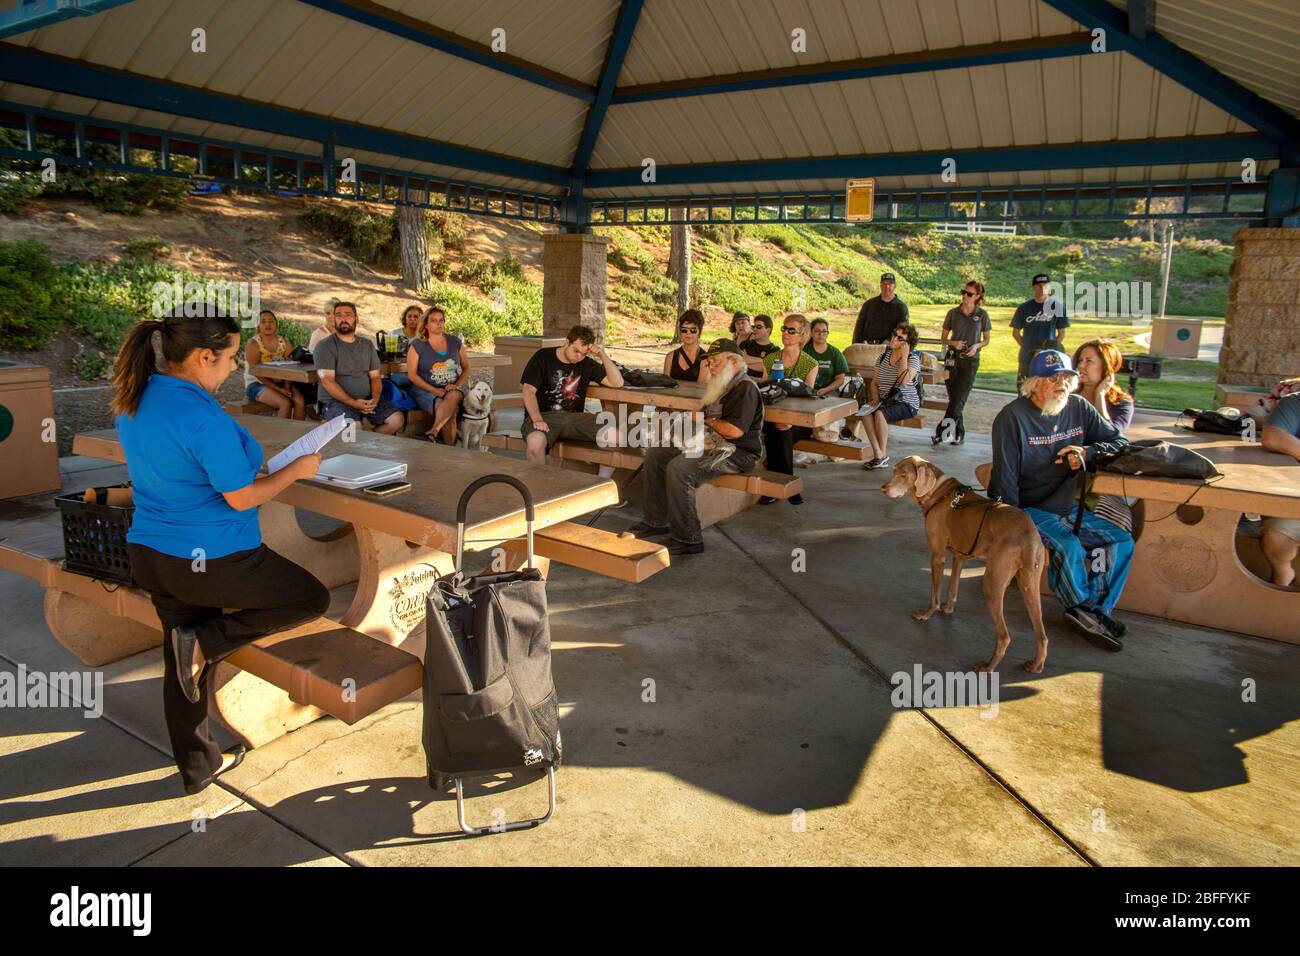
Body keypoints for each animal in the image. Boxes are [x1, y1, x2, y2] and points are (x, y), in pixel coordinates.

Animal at [878, 455, 1050, 671]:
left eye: (903, 474)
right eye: (894, 471)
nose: (883, 488)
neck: (938, 492)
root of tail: (1028, 533)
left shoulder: (937, 556)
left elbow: (935, 593)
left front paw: (927, 614)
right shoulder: (959, 557)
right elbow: (953, 587)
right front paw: (948, 609)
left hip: (992, 583)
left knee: (1004, 636)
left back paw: (988, 667)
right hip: (1030, 584)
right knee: (1042, 635)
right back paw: (1036, 665)